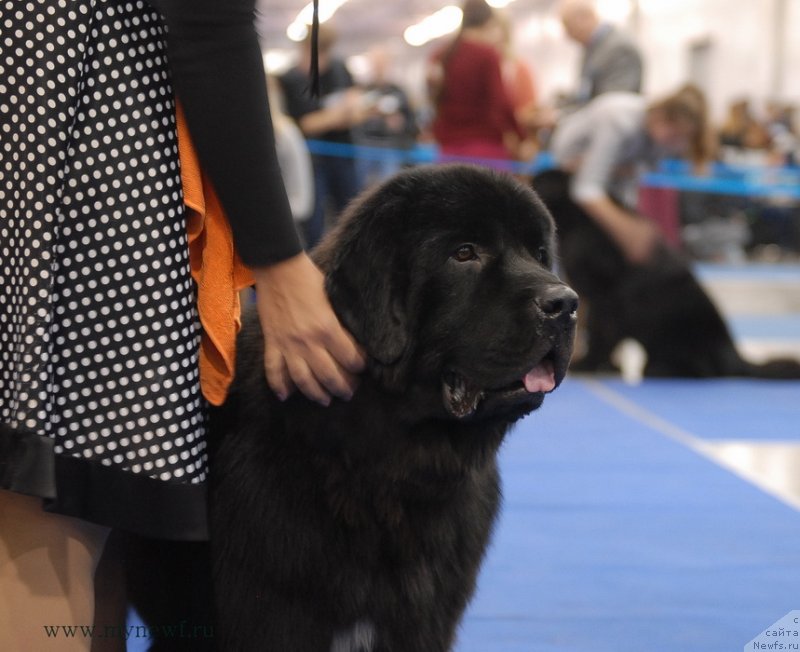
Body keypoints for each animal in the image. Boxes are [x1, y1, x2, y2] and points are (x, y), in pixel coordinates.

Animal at [532, 169, 800, 376]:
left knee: (704, 371)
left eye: (538, 183)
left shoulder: (608, 301)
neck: (581, 222)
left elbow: (601, 337)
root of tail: (735, 356)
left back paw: (660, 370)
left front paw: (587, 365)